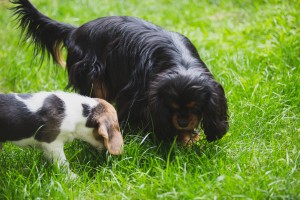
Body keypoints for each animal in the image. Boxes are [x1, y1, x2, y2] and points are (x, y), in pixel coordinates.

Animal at [10, 0, 229, 144]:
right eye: (171, 106)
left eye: (196, 106)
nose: (183, 121)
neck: (180, 61)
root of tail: (74, 31)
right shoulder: (138, 93)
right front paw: (181, 138)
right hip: (93, 78)